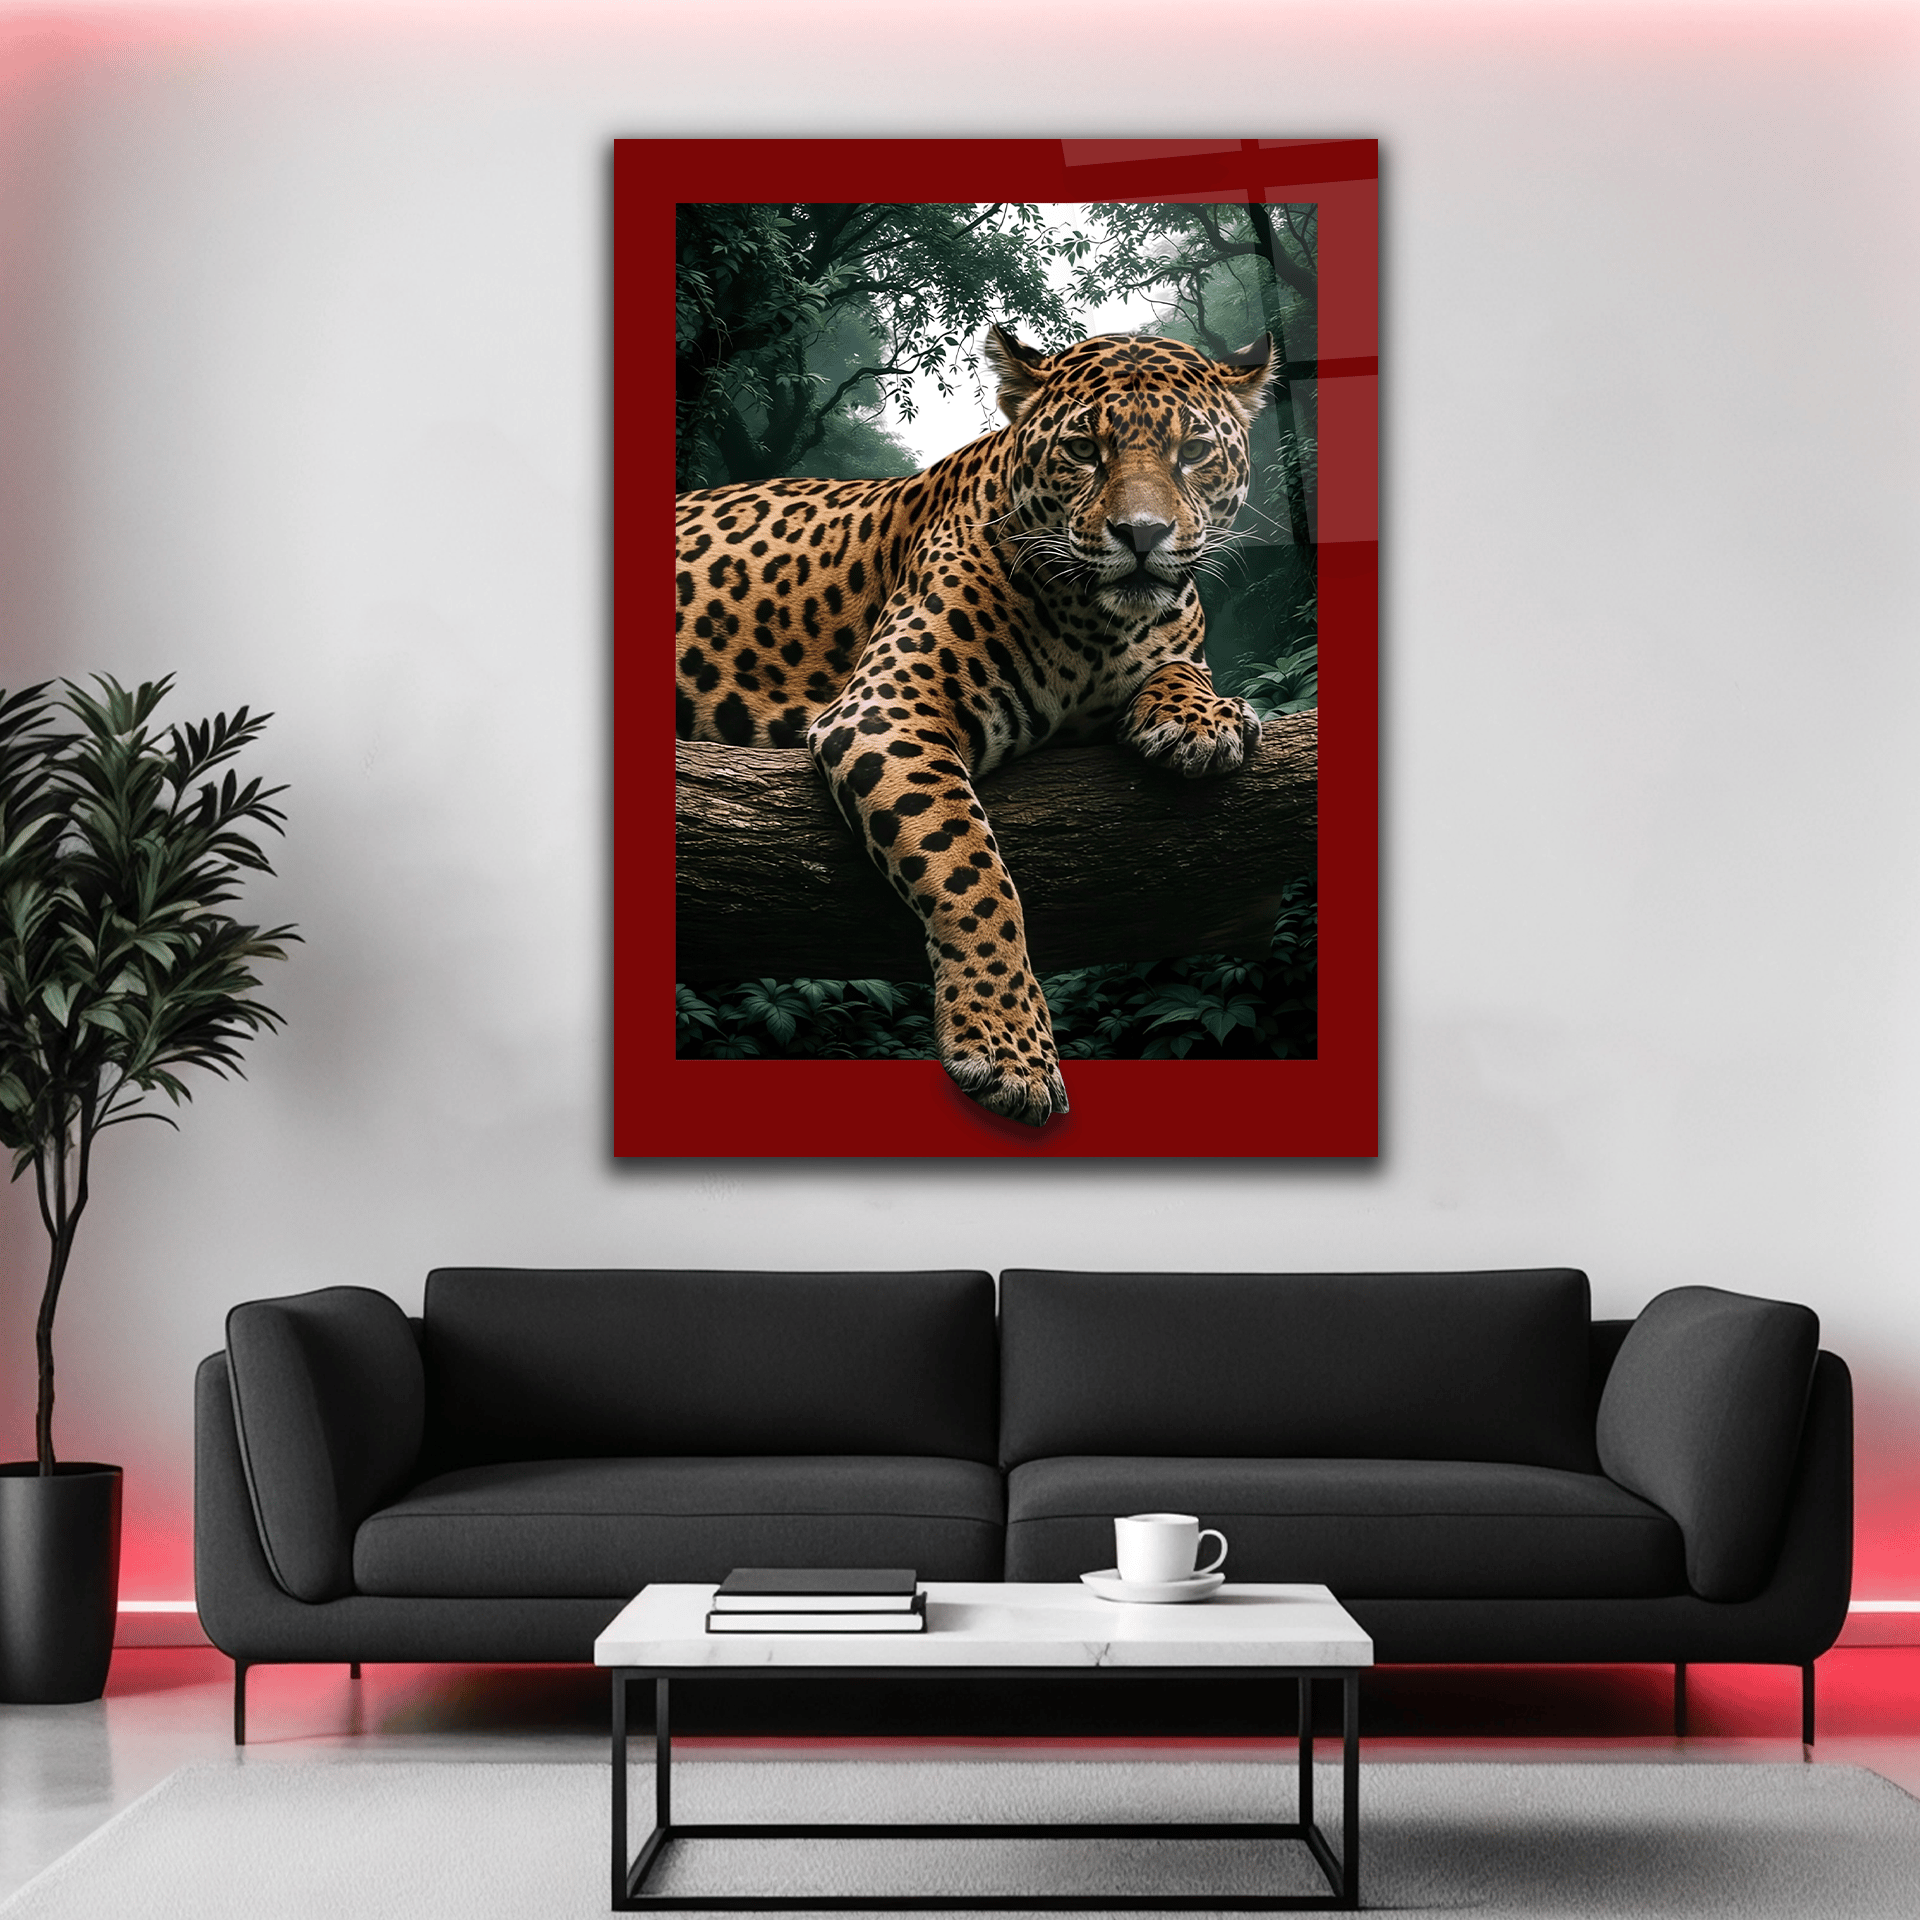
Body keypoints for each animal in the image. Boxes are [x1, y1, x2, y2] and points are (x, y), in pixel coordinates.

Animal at [675, 325, 1276, 1127]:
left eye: (1194, 451)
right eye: (1083, 449)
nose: (1142, 535)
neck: (1095, 627)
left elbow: (1183, 666)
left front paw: (1199, 718)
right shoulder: (889, 708)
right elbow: (973, 872)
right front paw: (1006, 1047)